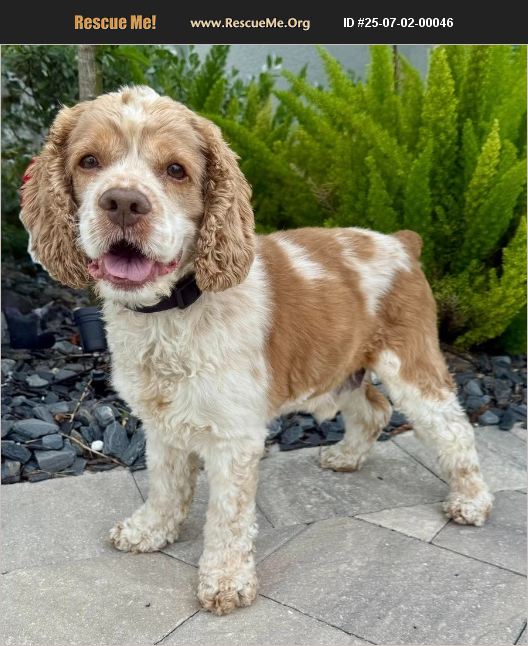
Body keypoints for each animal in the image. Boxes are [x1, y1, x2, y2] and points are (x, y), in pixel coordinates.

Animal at [20, 86, 492, 615]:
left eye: (176, 170)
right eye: (89, 161)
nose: (123, 201)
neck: (174, 310)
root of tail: (400, 242)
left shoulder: (235, 436)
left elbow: (227, 516)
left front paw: (226, 581)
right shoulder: (161, 422)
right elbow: (166, 484)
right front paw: (150, 531)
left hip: (409, 361)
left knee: (453, 427)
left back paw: (471, 500)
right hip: (341, 364)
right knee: (373, 409)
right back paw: (347, 457)